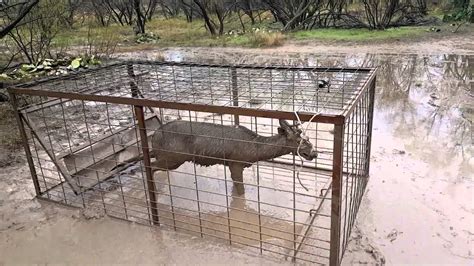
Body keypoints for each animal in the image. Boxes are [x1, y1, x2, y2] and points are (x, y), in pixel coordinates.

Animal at [8, 61, 374, 264]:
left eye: (309, 139)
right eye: (298, 141)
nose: (315, 153)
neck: (255, 150)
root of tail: (156, 133)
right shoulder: (235, 163)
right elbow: (239, 193)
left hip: (169, 156)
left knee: (143, 158)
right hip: (173, 157)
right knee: (149, 163)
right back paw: (149, 193)